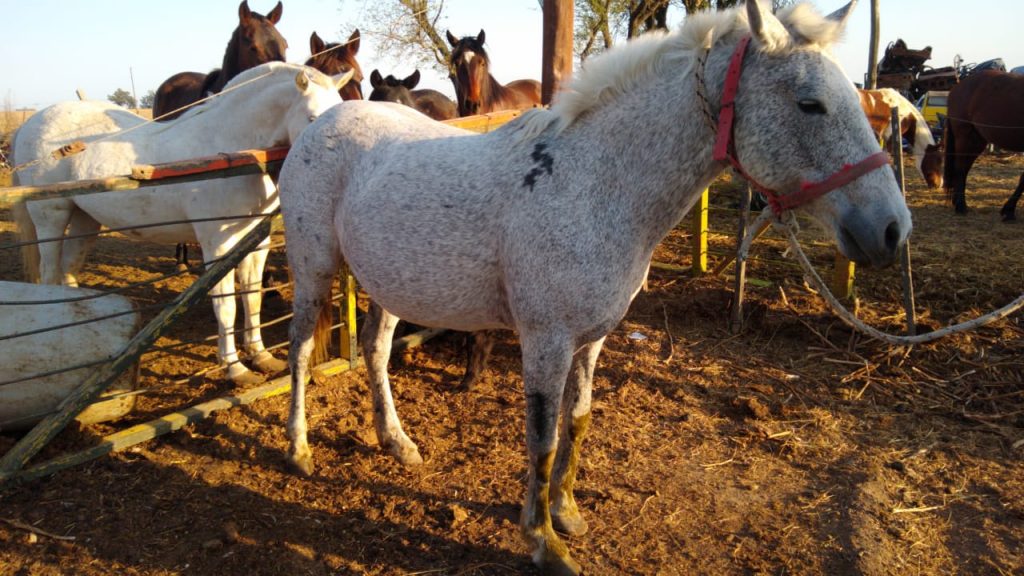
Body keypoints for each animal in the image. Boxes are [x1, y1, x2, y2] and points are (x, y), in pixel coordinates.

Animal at [937, 69, 1024, 217]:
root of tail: (958, 87)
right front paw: (1008, 210)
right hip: (964, 137)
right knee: (960, 168)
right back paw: (960, 206)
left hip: (976, 141)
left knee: (965, 168)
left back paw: (957, 200)